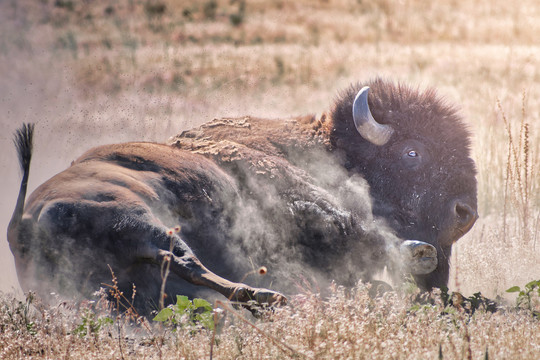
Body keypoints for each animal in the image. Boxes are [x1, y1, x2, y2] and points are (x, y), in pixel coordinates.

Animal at [7, 79, 476, 316]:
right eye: (413, 152)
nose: (465, 212)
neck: (330, 149)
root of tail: (23, 226)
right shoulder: (299, 197)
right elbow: (357, 230)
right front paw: (414, 255)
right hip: (140, 218)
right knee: (187, 261)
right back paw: (273, 297)